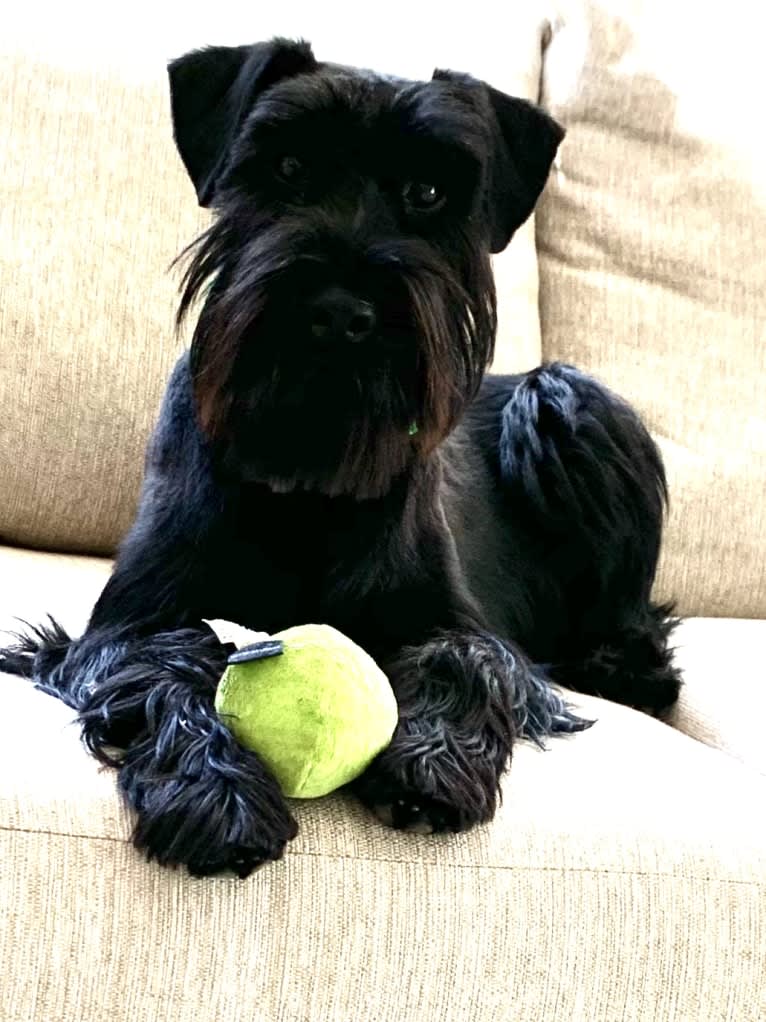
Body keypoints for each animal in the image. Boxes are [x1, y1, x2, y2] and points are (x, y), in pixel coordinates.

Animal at [1, 41, 682, 878]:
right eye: (287, 167)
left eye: (428, 191)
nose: (338, 312)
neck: (308, 482)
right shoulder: (122, 627)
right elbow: (164, 665)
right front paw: (214, 788)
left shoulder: (467, 626)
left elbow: (466, 659)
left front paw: (431, 763)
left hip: (566, 400)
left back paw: (624, 667)